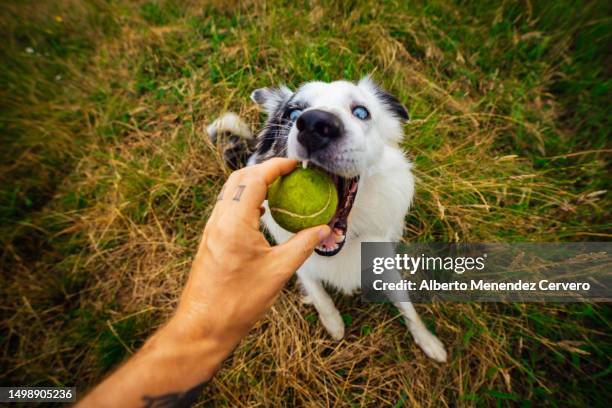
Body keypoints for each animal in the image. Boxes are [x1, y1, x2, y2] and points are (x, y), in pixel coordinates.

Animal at [208, 78, 448, 362]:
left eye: (361, 112)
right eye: (293, 114)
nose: (315, 124)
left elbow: (408, 307)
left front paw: (429, 341)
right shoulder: (296, 261)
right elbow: (319, 294)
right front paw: (333, 324)